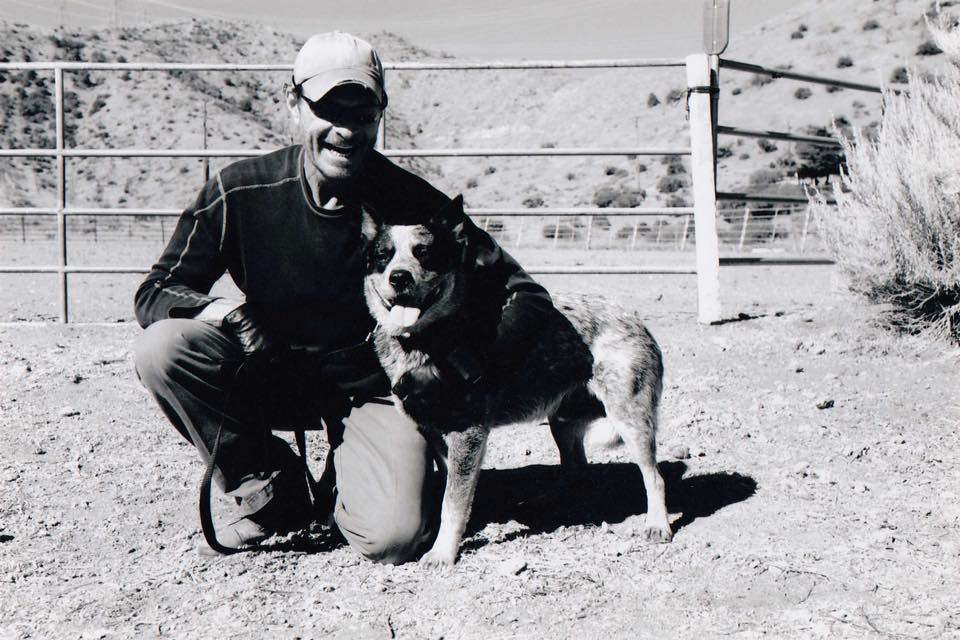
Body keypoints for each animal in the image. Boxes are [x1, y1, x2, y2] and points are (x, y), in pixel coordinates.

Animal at [358, 196, 668, 564]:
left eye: (424, 253)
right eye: (383, 255)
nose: (399, 277)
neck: (424, 341)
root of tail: (635, 318)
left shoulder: (468, 434)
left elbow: (453, 502)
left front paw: (443, 553)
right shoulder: (436, 434)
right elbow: (453, 491)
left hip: (631, 420)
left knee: (654, 477)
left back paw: (658, 525)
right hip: (562, 422)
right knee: (577, 469)